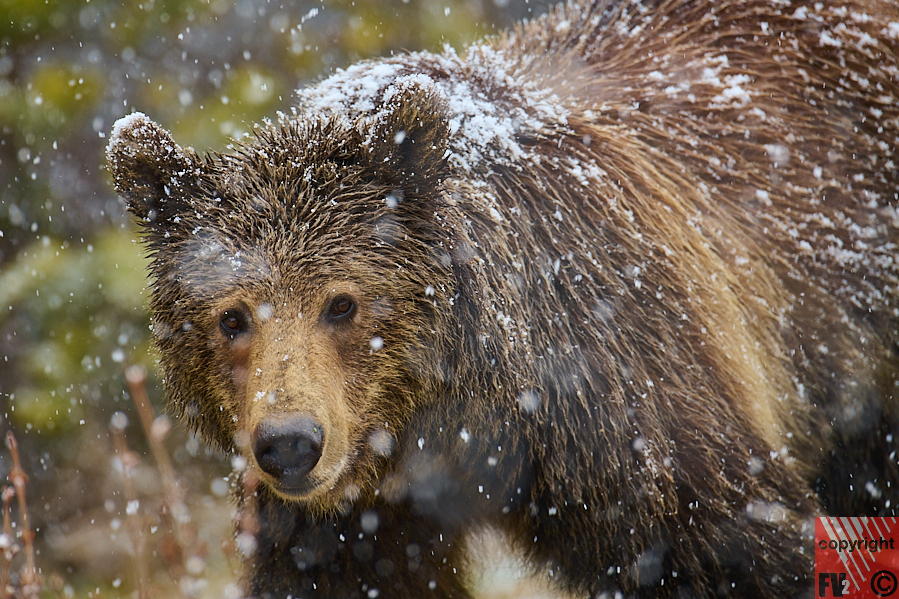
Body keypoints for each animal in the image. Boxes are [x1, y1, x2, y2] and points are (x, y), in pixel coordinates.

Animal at [107, 0, 899, 597]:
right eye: (230, 317)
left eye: (342, 303)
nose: (290, 444)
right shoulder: (350, 519)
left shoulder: (619, 397)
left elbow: (734, 541)